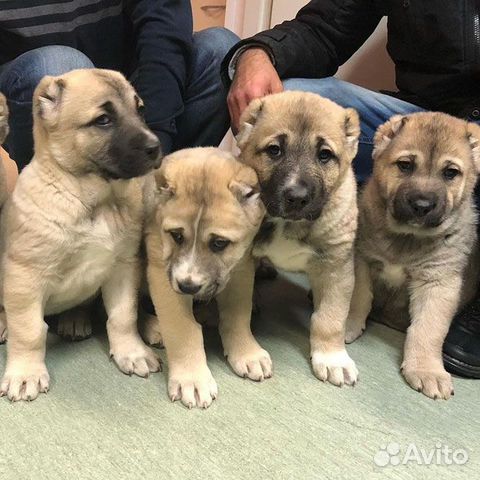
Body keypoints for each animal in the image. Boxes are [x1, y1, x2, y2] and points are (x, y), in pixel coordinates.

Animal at [0, 67, 163, 402]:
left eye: (140, 110)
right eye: (103, 120)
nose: (156, 147)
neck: (96, 201)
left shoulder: (124, 268)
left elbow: (123, 315)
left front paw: (131, 351)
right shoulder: (25, 276)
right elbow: (29, 331)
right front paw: (25, 373)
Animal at [144, 146, 268, 408]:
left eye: (219, 243)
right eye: (176, 235)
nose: (188, 286)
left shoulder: (240, 269)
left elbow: (238, 315)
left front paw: (247, 352)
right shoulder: (163, 274)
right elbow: (182, 328)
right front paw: (192, 379)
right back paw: (154, 327)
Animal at [236, 91, 360, 386]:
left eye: (324, 155)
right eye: (274, 150)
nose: (297, 197)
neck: (288, 224)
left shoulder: (337, 269)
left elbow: (330, 319)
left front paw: (332, 358)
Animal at [346, 110, 480, 400]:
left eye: (450, 173)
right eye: (405, 165)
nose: (422, 205)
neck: (407, 238)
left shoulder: (438, 284)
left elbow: (428, 329)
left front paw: (427, 370)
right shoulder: (361, 260)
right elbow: (358, 297)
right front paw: (347, 324)